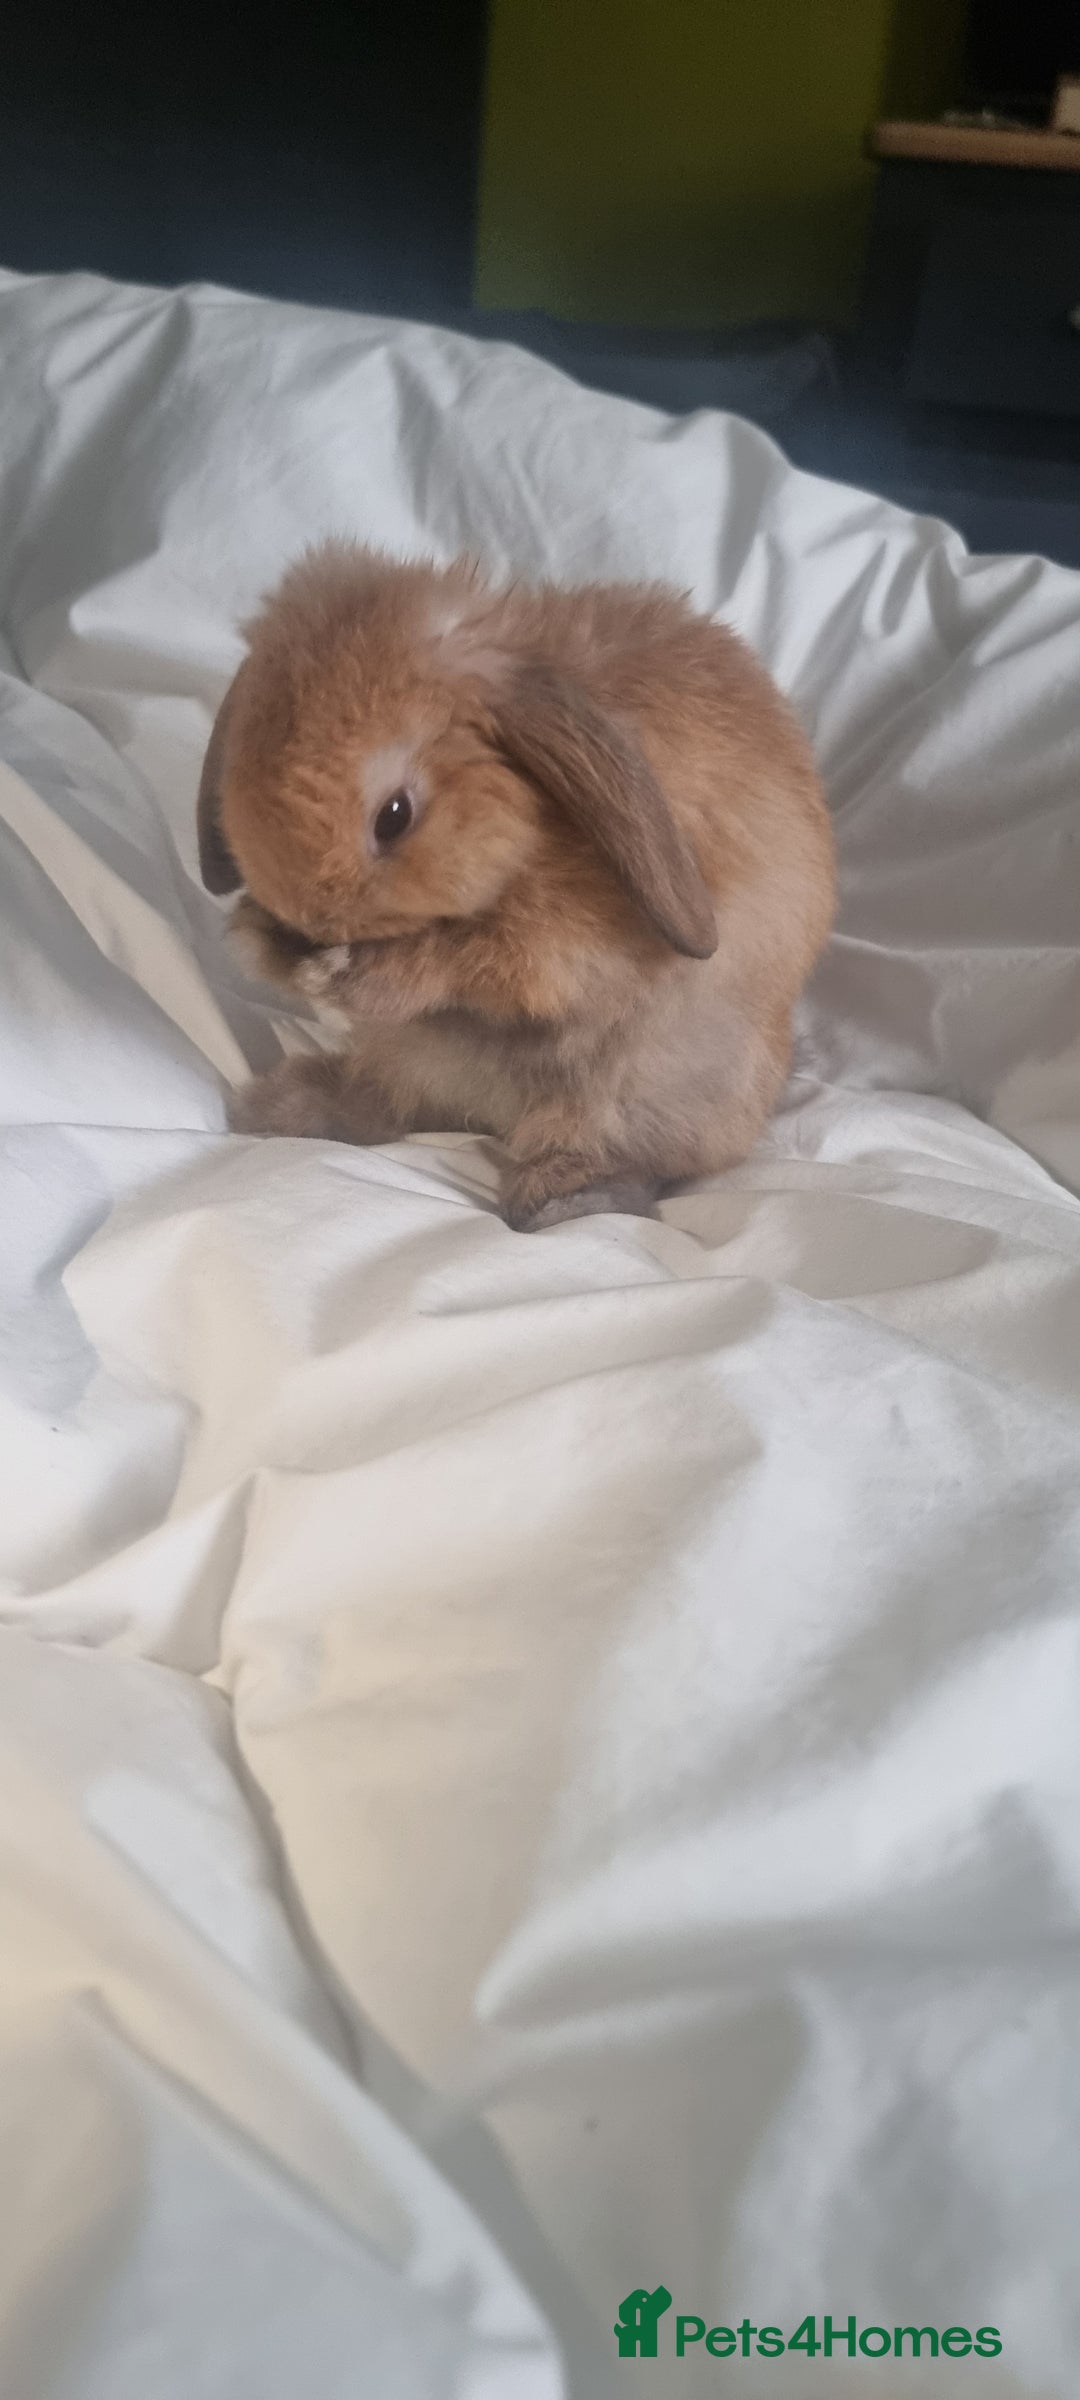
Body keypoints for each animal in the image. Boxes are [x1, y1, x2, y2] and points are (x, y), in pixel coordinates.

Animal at [198, 540, 835, 1230]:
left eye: (394, 815)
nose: (306, 924)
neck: (527, 838)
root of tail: (496, 1116)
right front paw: (255, 939)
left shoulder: (576, 949)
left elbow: (481, 963)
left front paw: (350, 973)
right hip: (411, 1059)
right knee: (390, 1103)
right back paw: (282, 1106)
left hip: (642, 1090)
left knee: (626, 1152)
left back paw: (563, 1200)